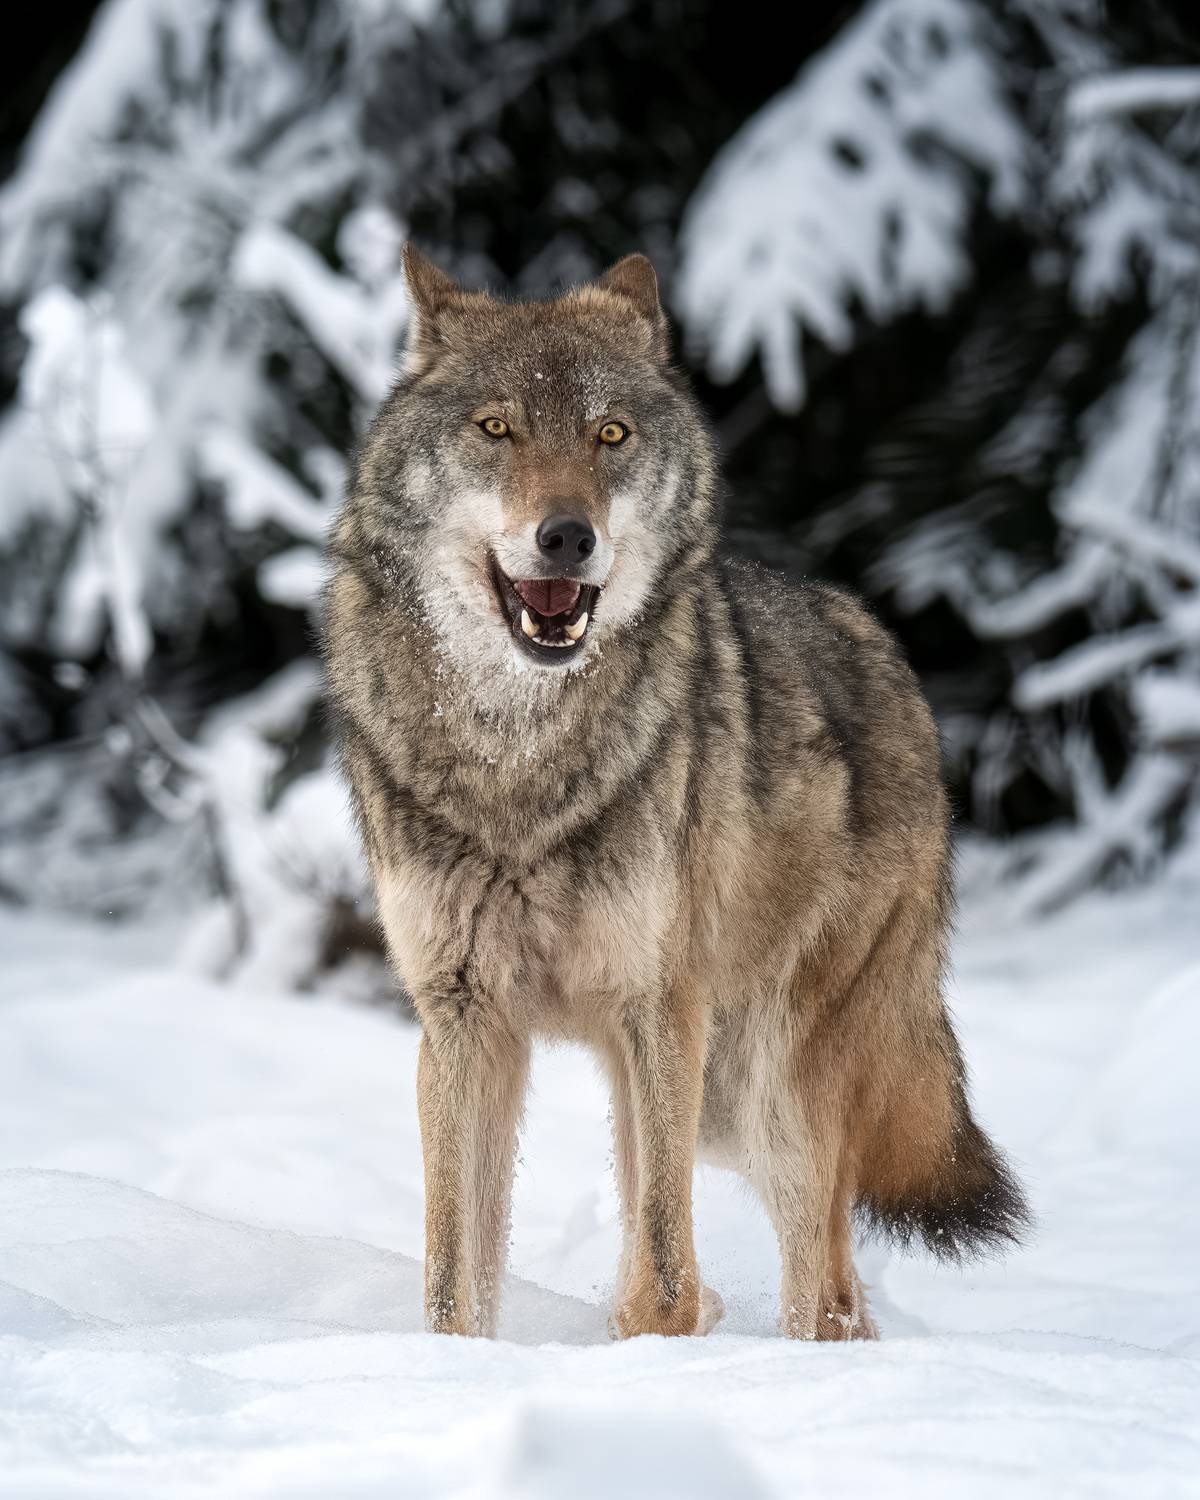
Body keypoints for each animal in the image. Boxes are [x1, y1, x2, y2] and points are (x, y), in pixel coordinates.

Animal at [322, 247, 1028, 1340]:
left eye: (610, 434)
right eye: (496, 429)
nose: (567, 537)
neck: (518, 756)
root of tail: (888, 656)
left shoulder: (659, 1004)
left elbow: (663, 1279)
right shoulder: (464, 1020)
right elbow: (454, 1283)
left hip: (763, 1089)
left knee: (827, 1289)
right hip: (704, 1096)